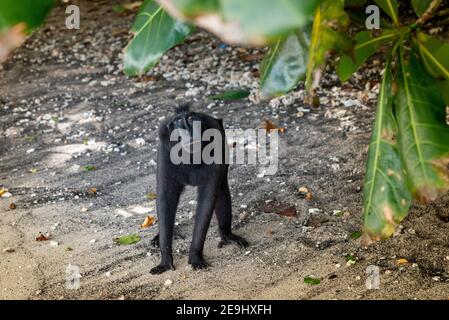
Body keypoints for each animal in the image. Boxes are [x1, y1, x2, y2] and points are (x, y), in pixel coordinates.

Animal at [150, 104, 248, 274]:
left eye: (191, 118)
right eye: (177, 122)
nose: (187, 129)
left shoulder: (216, 147)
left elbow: (207, 200)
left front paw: (195, 256)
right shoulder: (165, 153)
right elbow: (165, 199)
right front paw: (165, 258)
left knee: (222, 189)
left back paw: (227, 234)